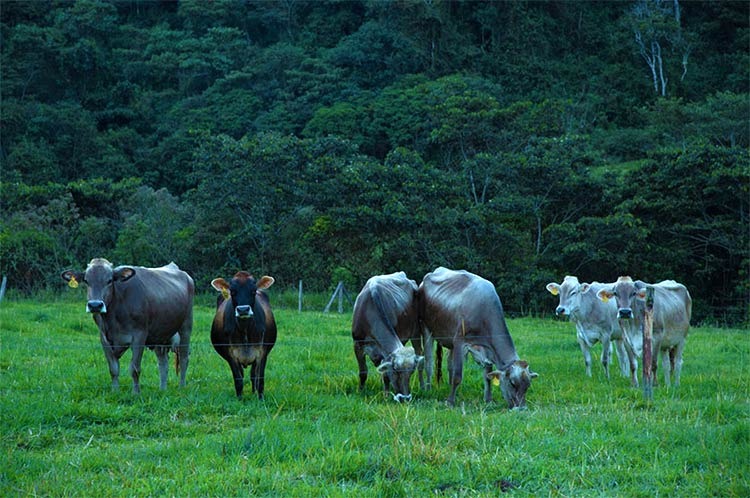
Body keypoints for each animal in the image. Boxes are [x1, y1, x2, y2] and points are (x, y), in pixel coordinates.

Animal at [61, 256, 194, 392]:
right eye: (86, 281)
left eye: (109, 280)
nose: (95, 305)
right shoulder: (104, 338)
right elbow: (113, 369)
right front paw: (115, 391)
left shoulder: (139, 336)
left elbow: (134, 369)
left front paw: (136, 393)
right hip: (160, 335)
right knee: (163, 362)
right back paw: (162, 389)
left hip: (186, 327)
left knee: (184, 358)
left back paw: (182, 387)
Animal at [210, 272, 278, 400]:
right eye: (232, 291)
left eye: (253, 291)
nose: (243, 310)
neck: (245, 329)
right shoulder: (231, 355)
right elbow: (238, 379)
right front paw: (239, 399)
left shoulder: (262, 352)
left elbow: (260, 378)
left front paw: (260, 399)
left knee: (253, 375)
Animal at [354, 270, 428, 402]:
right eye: (396, 370)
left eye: (411, 372)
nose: (405, 398)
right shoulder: (357, 344)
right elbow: (363, 372)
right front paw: (361, 391)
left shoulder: (385, 353)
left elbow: (385, 375)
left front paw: (386, 395)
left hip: (416, 330)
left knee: (420, 357)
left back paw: (423, 386)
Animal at [420, 266, 536, 410]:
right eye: (513, 383)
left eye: (528, 386)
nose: (521, 408)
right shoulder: (459, 341)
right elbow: (458, 376)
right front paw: (450, 402)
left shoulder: (488, 350)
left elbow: (487, 376)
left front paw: (488, 400)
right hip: (426, 328)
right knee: (429, 363)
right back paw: (428, 389)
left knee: (450, 365)